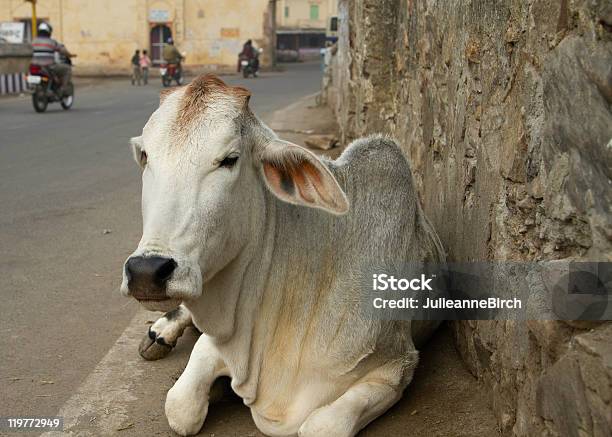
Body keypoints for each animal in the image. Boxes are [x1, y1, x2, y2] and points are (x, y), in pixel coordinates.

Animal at [119, 75, 444, 436]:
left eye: (230, 159)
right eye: (145, 155)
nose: (146, 271)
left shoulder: (396, 366)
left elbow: (320, 427)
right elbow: (180, 406)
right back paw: (160, 332)